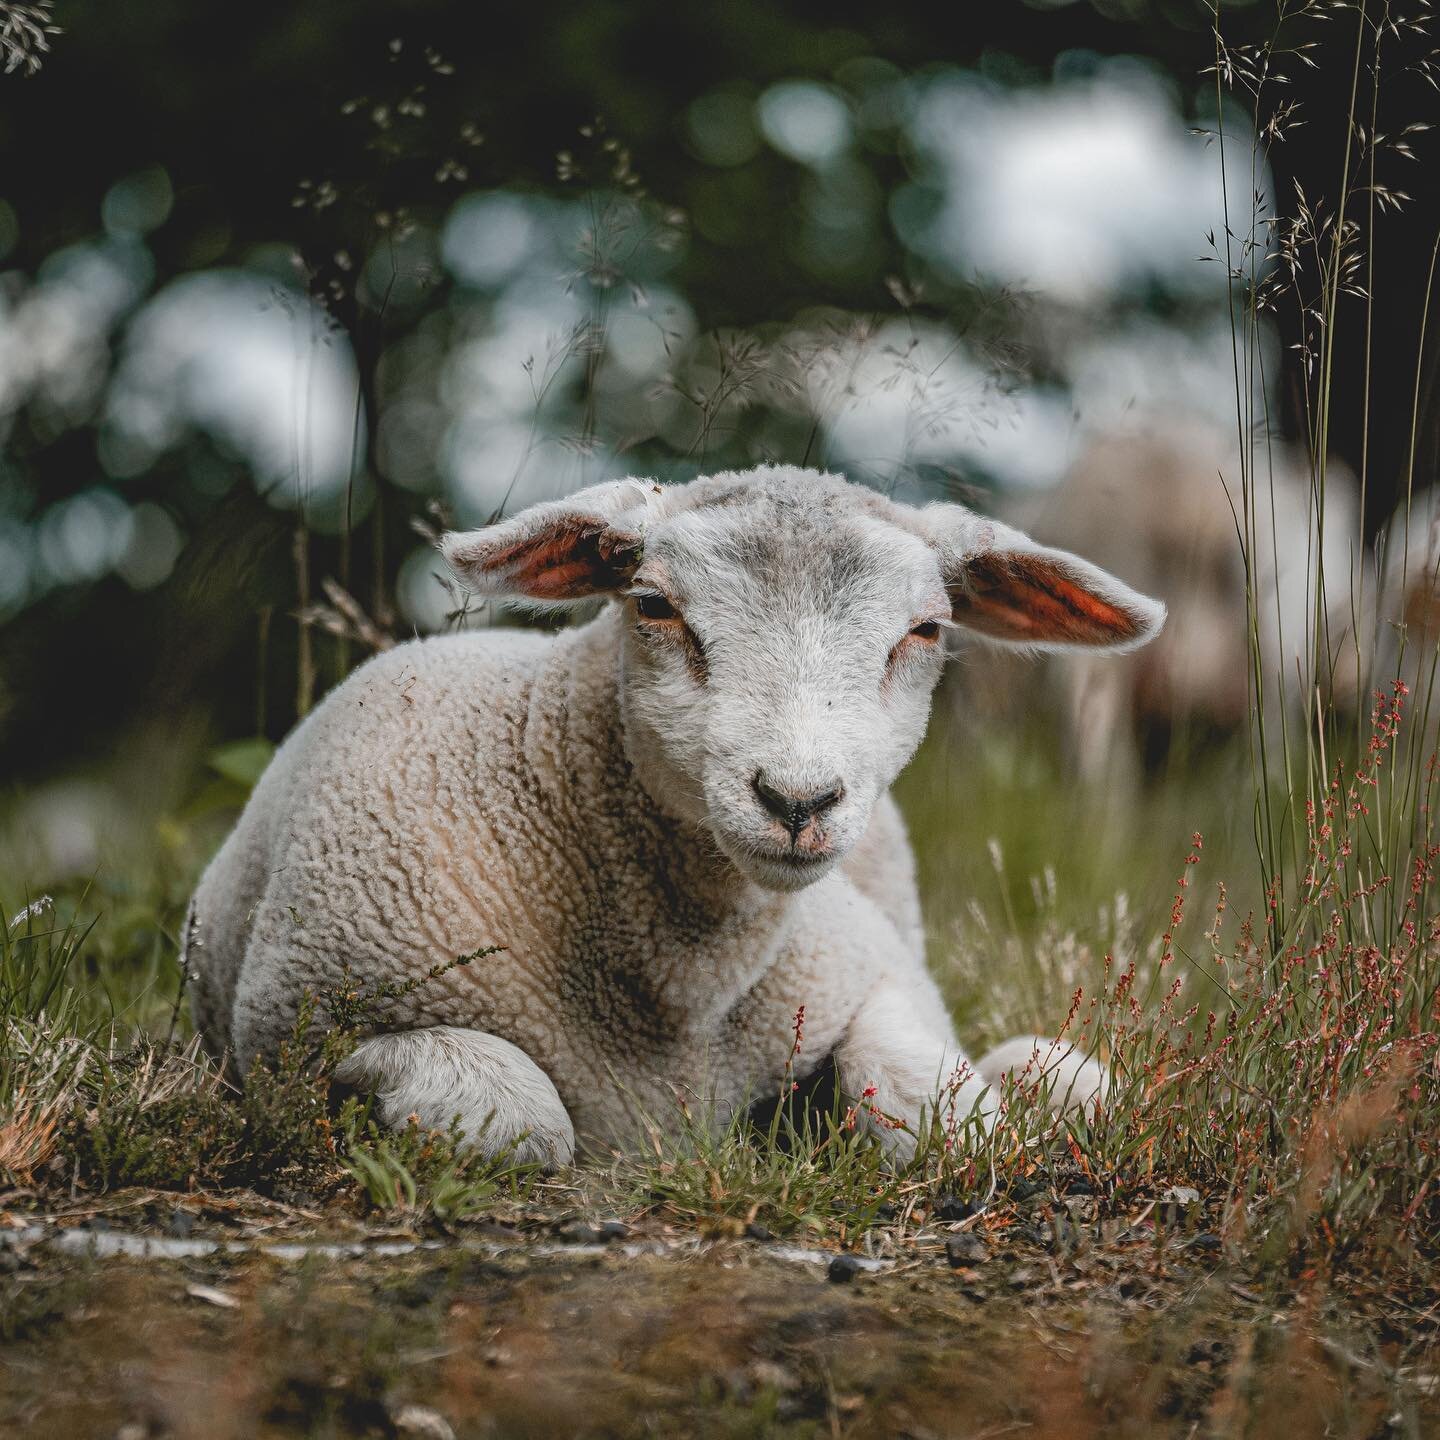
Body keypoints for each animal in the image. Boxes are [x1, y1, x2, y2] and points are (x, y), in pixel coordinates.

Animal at [182, 466, 1169, 1163]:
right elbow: (517, 1117)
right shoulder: (295, 1032)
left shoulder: (877, 975)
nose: (797, 799)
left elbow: (932, 1110)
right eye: (654, 606)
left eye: (925, 631)